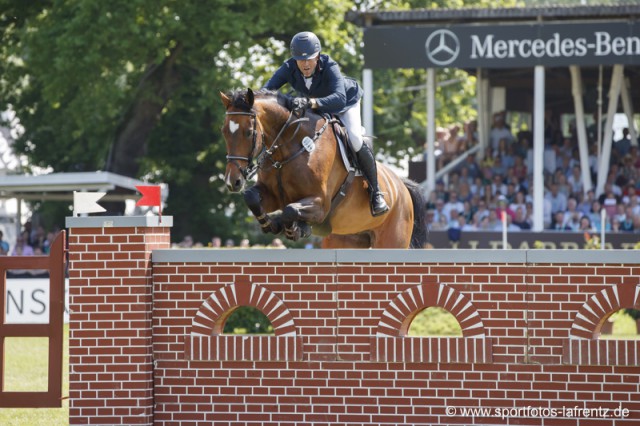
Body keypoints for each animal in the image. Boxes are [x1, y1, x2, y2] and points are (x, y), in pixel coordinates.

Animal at [219, 89, 424, 250]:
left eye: (249, 133)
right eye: (224, 132)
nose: (232, 181)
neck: (288, 150)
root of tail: (402, 187)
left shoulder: (320, 204)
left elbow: (290, 210)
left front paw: (295, 228)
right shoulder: (272, 195)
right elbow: (251, 197)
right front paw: (271, 223)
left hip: (391, 239)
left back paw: (378, 202)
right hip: (346, 240)